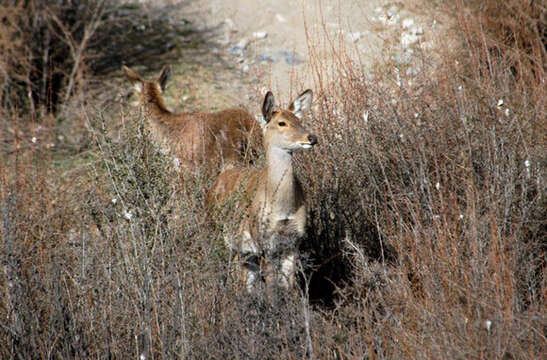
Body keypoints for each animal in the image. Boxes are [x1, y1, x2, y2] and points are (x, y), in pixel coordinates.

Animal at [204, 88, 316, 292]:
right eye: (281, 122)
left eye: (299, 120)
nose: (311, 138)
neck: (283, 208)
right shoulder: (264, 243)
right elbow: (271, 290)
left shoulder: (293, 242)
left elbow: (289, 287)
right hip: (215, 231)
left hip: (245, 252)